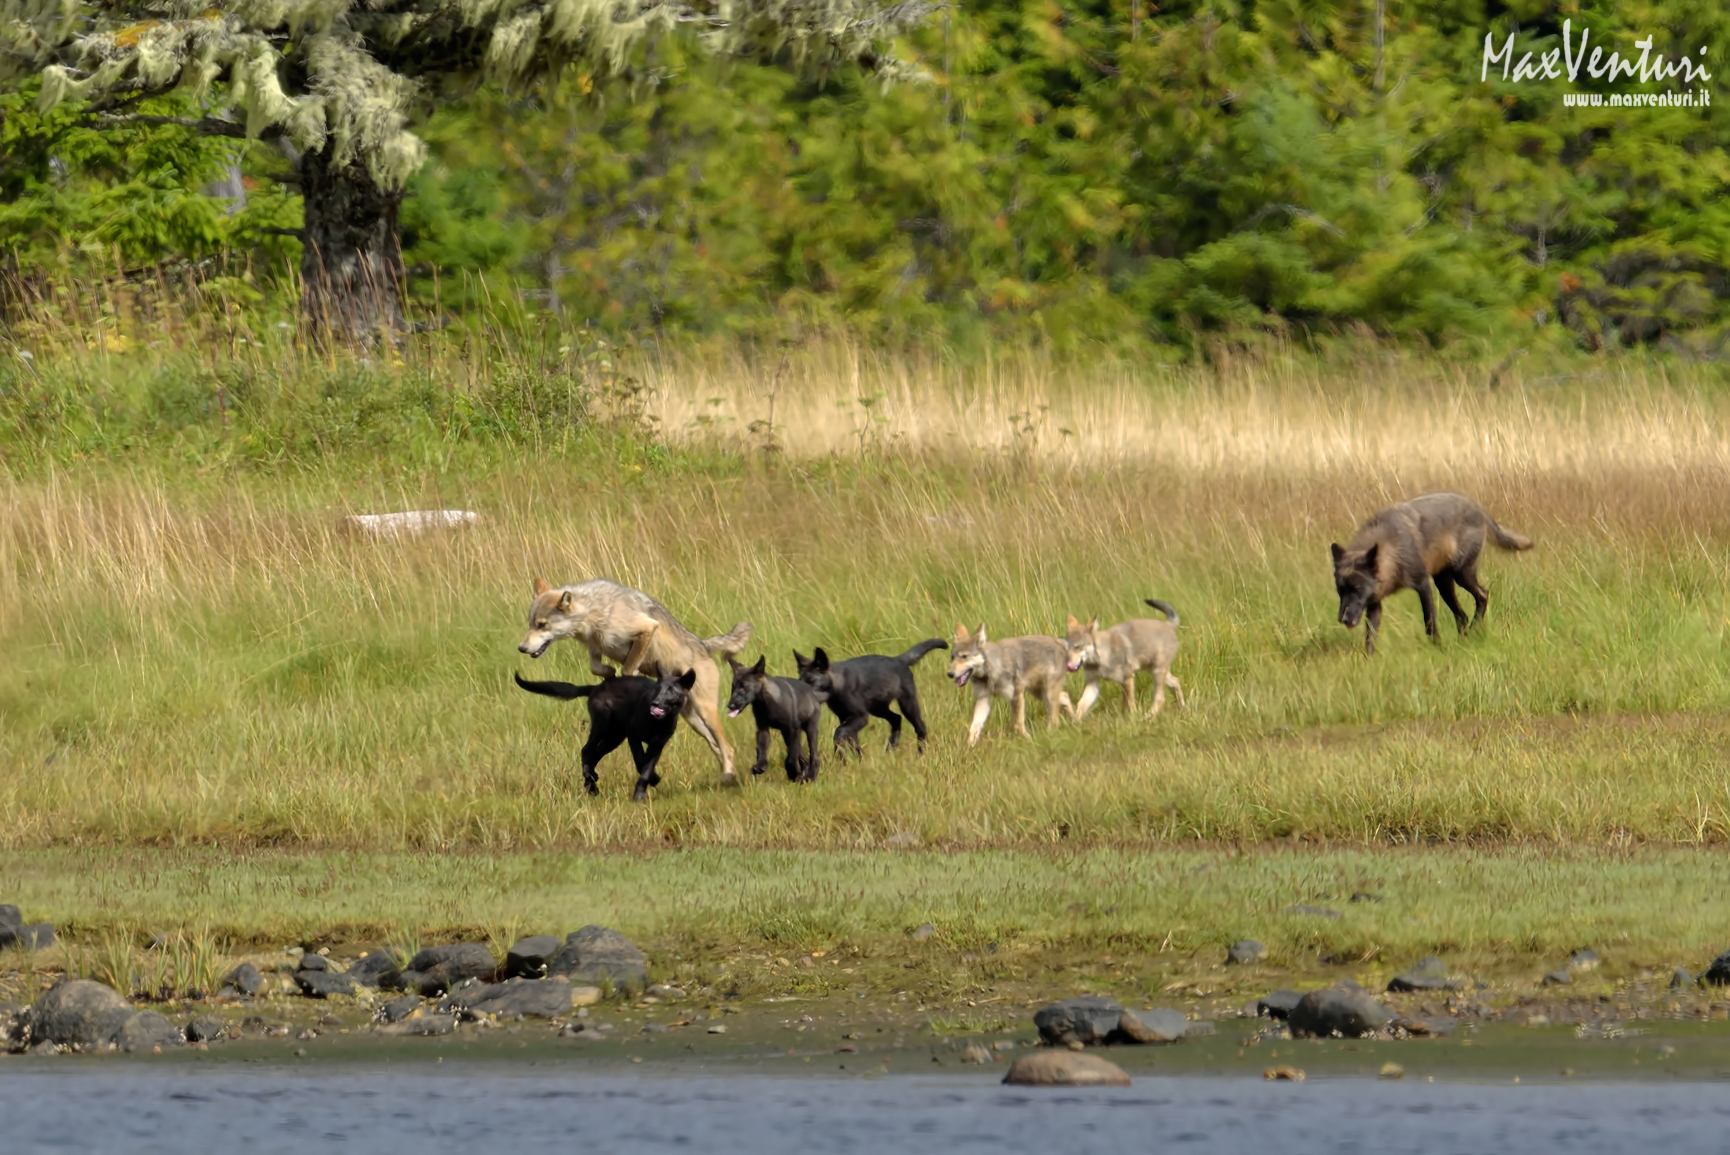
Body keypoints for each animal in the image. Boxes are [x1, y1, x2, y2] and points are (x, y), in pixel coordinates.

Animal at [513, 667, 697, 801]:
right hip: (603, 723)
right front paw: (650, 783)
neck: (657, 722)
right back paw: (591, 784)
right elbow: (640, 762)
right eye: (658, 689)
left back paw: (591, 781)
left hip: (614, 736)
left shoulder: (658, 744)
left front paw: (642, 791)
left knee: (594, 754)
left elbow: (646, 767)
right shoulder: (633, 736)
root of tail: (596, 687)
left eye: (672, 691)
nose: (655, 703)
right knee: (586, 750)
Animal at [517, 578, 751, 782]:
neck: (594, 612)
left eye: (542, 625)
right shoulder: (596, 648)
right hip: (693, 720)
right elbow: (598, 668)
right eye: (530, 624)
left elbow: (628, 668)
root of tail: (704, 645)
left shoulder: (646, 629)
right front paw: (609, 673)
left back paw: (728, 776)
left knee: (727, 748)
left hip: (706, 712)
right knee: (717, 746)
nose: (521, 648)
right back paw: (728, 776)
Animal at [794, 639, 947, 758]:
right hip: (878, 708)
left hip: (907, 703)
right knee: (896, 719)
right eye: (800, 681)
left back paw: (920, 754)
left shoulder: (860, 716)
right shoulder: (845, 717)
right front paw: (858, 760)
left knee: (920, 727)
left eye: (811, 681)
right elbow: (853, 741)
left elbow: (839, 732)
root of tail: (898, 659)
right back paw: (890, 749)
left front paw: (841, 757)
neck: (837, 687)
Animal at [947, 624, 1075, 746]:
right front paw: (968, 747)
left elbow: (1017, 725)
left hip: (1047, 694)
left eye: (964, 656)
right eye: (952, 657)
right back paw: (1075, 720)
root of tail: (1059, 642)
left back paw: (1053, 733)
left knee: (1055, 718)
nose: (949, 674)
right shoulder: (983, 699)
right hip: (1040, 694)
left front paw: (1029, 740)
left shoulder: (1016, 696)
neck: (992, 671)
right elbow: (973, 728)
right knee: (1065, 696)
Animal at [1331, 492, 1533, 655]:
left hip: (1461, 577)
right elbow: (1370, 636)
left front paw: (1437, 649)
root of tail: (1478, 508)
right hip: (1444, 584)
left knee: (1483, 596)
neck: (1394, 550)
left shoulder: (1423, 585)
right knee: (1462, 615)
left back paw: (1472, 632)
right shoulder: (1374, 603)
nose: (1342, 619)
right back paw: (1463, 640)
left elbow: (1430, 623)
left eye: (1357, 589)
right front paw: (1370, 660)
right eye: (1341, 591)